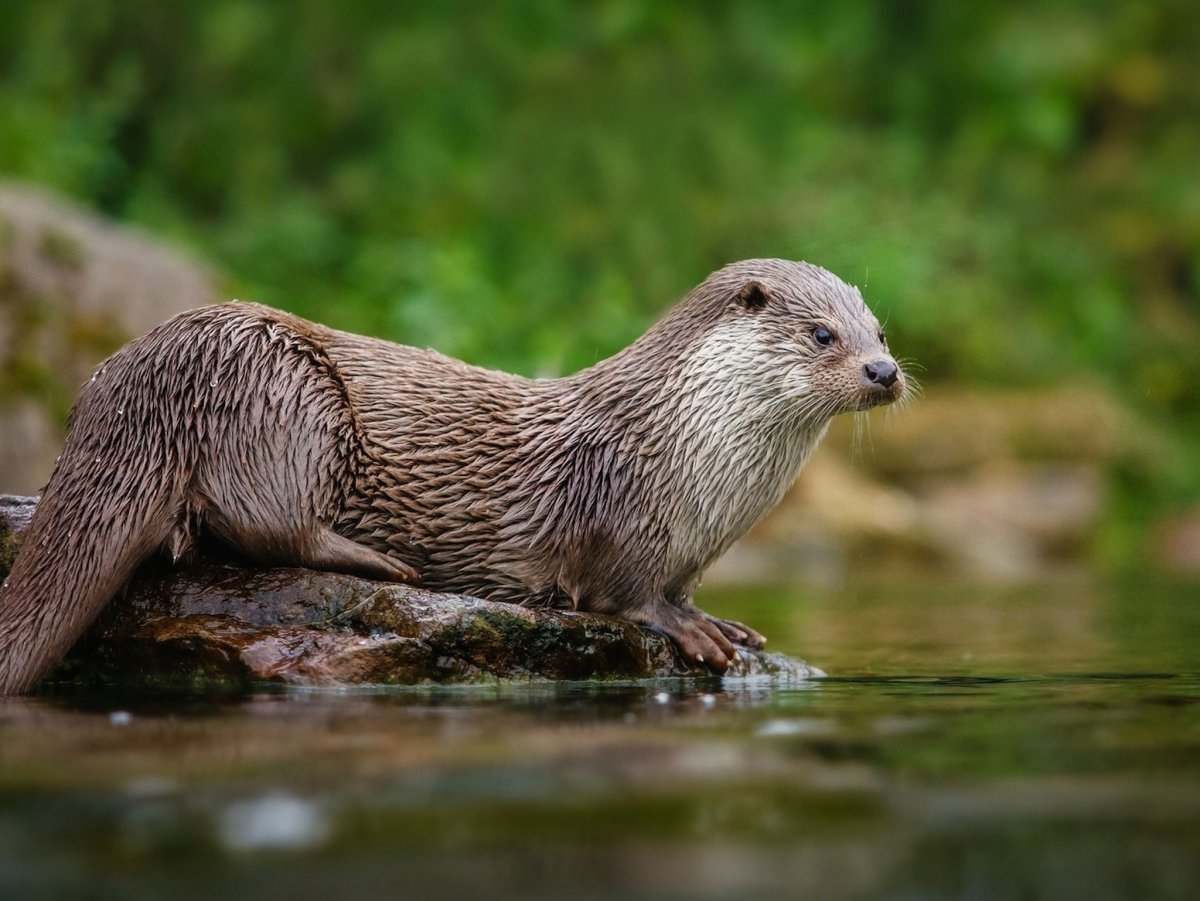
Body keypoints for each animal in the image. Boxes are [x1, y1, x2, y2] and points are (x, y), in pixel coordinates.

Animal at [0, 259, 905, 693]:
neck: (684, 451)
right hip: (282, 392)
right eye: (824, 334)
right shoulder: (620, 514)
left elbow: (684, 589)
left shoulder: (691, 547)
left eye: (880, 328)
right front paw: (691, 629)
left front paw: (728, 623)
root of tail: (128, 376)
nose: (885, 371)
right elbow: (626, 594)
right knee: (267, 523)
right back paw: (381, 560)